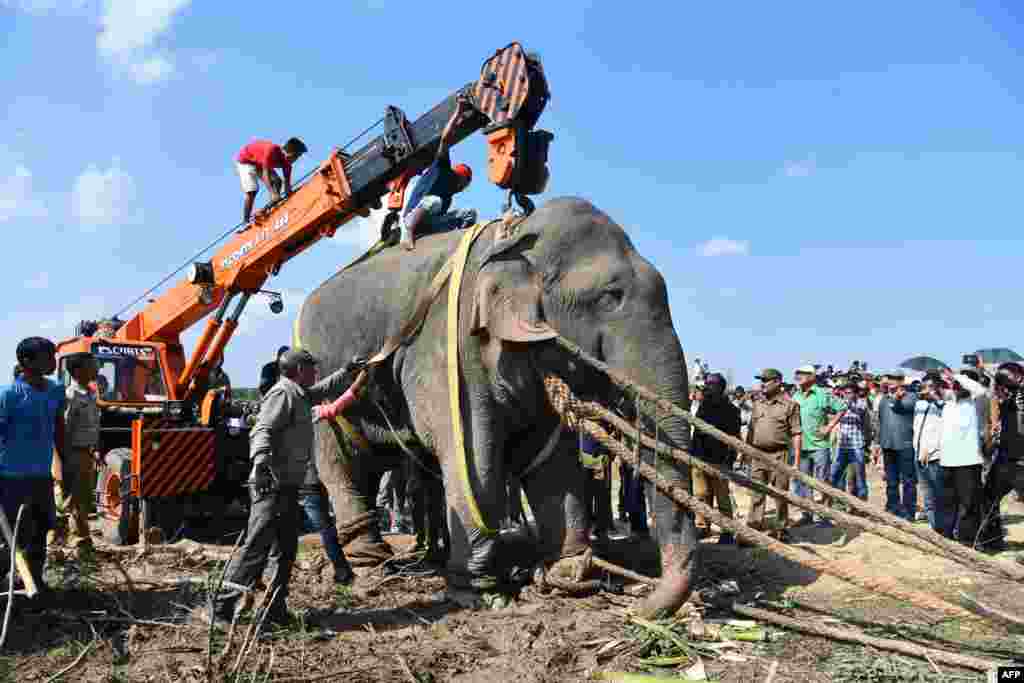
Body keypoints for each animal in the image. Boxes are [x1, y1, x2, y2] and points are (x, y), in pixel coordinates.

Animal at [296, 194, 696, 618]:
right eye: (609, 296)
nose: (641, 608)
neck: (516, 236)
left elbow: (552, 463)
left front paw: (569, 575)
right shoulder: (451, 348)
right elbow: (474, 458)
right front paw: (482, 593)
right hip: (324, 390)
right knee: (343, 464)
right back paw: (372, 569)